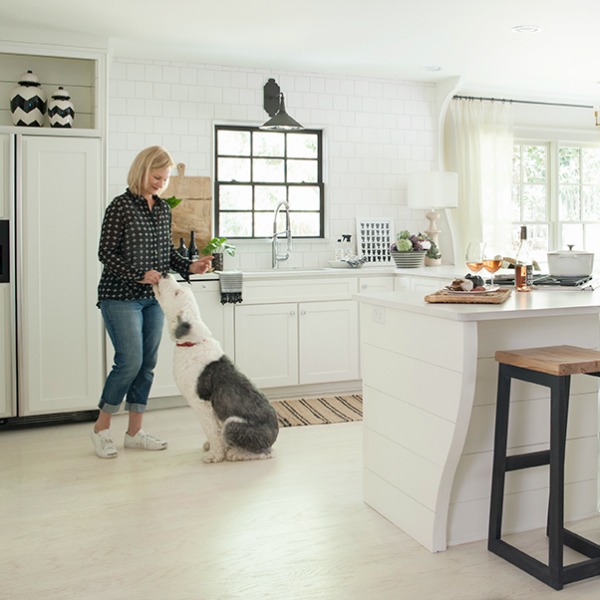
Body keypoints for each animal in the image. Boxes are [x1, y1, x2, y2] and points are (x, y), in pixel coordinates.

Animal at [152, 274, 278, 462]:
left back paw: (236, 453)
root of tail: (275, 435)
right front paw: (210, 447)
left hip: (232, 424)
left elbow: (212, 431)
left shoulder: (201, 403)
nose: (164, 274)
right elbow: (212, 432)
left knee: (264, 452)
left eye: (176, 292)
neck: (192, 343)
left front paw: (214, 455)